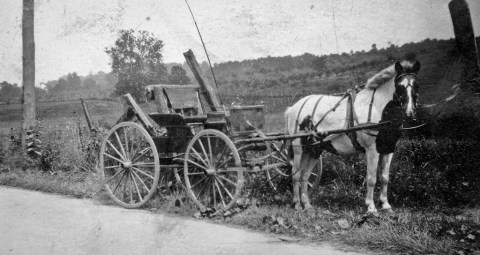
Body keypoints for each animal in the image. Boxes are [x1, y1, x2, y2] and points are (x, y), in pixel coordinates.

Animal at [284, 60, 420, 213]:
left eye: (417, 85)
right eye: (400, 86)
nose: (410, 111)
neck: (377, 108)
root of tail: (293, 108)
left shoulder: (388, 149)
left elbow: (385, 178)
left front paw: (385, 205)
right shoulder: (372, 150)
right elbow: (371, 179)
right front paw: (371, 207)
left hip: (314, 150)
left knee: (304, 175)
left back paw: (306, 204)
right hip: (298, 147)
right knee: (295, 174)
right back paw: (296, 204)